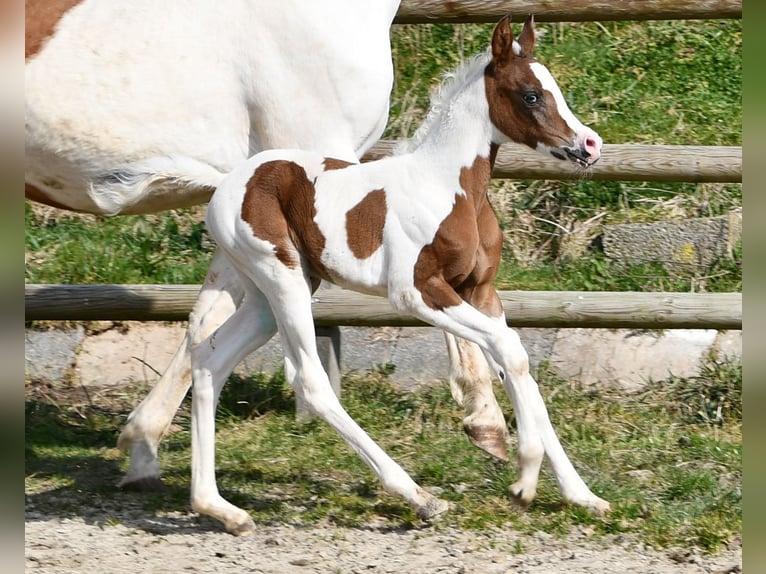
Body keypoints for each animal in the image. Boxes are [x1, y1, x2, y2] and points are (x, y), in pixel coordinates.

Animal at [192, 15, 610, 535]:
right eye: (531, 95)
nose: (590, 144)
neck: (452, 188)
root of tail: (224, 185)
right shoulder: (416, 292)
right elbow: (509, 351)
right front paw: (523, 479)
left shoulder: (481, 291)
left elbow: (516, 362)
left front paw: (580, 494)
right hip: (282, 280)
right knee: (310, 381)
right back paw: (420, 497)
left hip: (268, 295)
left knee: (209, 360)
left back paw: (219, 507)